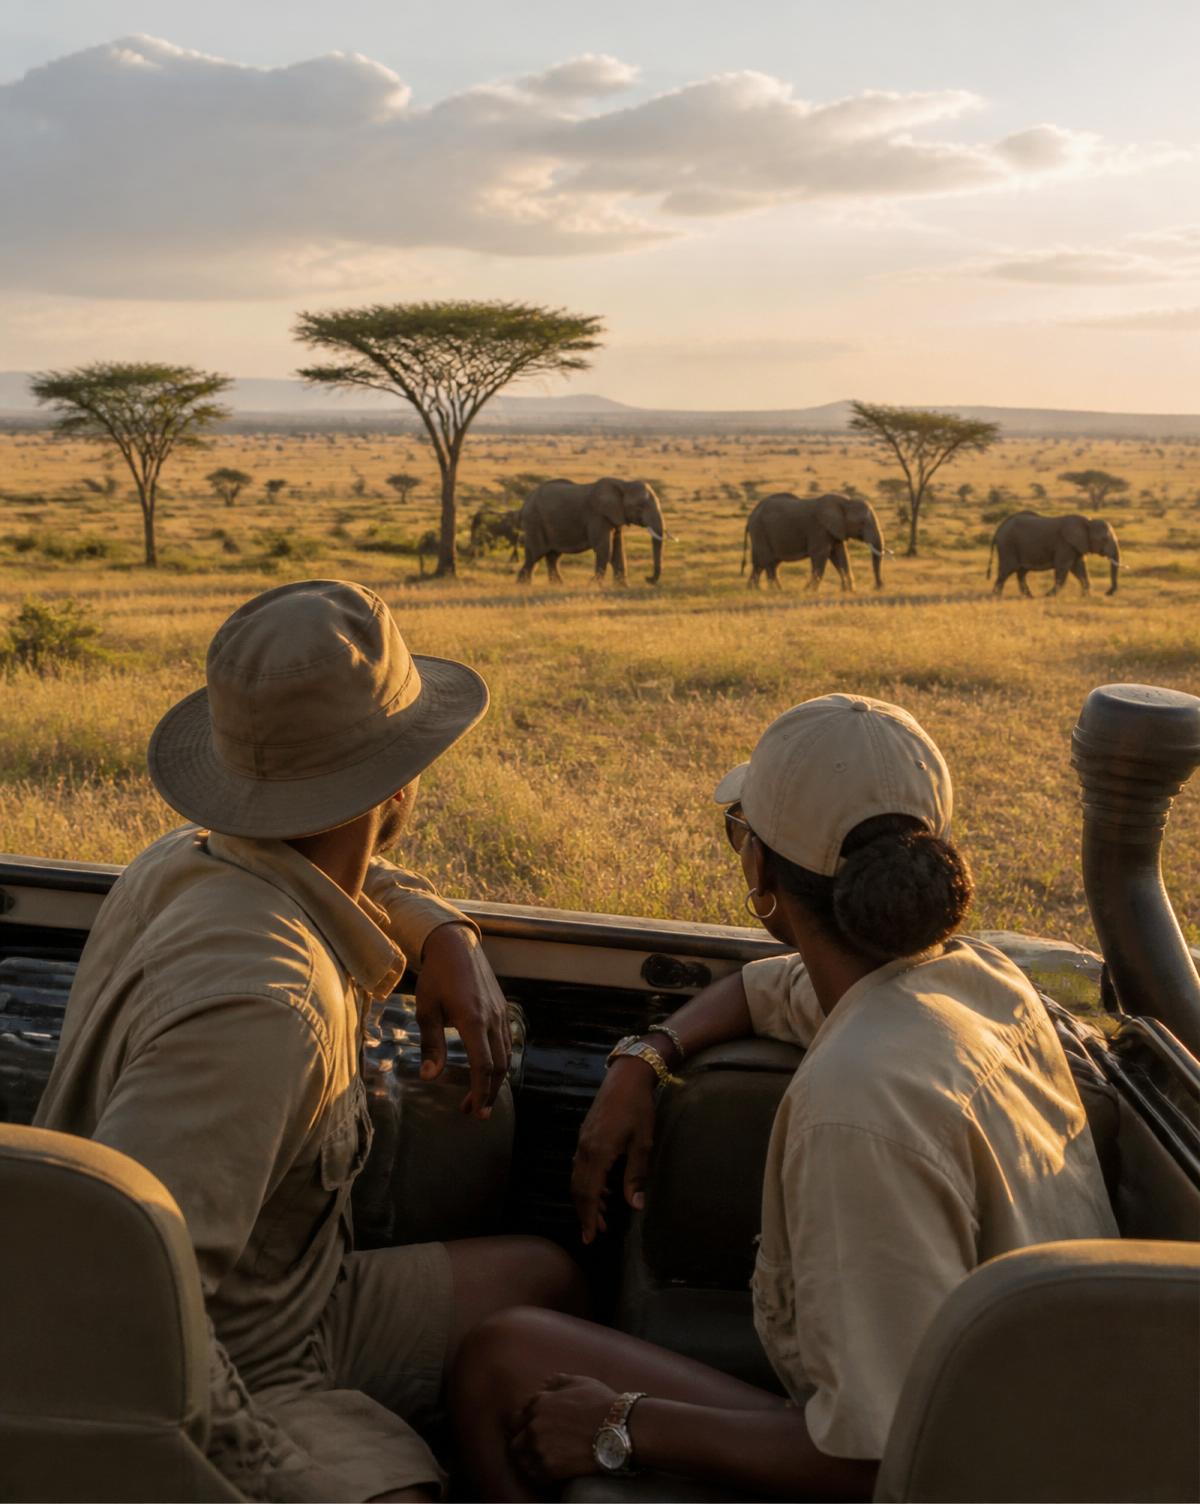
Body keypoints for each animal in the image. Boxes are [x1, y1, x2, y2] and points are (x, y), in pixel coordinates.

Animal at [517, 477, 665, 586]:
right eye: (640, 507)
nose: (648, 578)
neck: (623, 484)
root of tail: (525, 502)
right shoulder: (598, 516)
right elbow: (605, 548)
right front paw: (595, 585)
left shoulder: (615, 518)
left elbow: (618, 549)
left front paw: (622, 587)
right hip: (534, 522)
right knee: (534, 554)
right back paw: (523, 585)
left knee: (552, 556)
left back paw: (557, 585)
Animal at [742, 492, 885, 592]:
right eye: (862, 523)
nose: (878, 587)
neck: (845, 502)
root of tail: (750, 517)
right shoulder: (819, 529)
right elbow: (821, 556)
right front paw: (809, 590)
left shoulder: (835, 530)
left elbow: (841, 557)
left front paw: (848, 591)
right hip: (760, 531)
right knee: (764, 561)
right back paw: (762, 590)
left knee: (768, 563)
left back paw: (765, 590)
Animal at [988, 512, 1120, 597]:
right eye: (1104, 539)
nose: (1108, 593)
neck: (1088, 521)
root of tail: (998, 529)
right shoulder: (1065, 544)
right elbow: (1063, 568)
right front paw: (1048, 596)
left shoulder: (1075, 546)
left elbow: (1080, 568)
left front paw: (1086, 596)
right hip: (1008, 545)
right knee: (1007, 570)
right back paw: (996, 596)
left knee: (1021, 572)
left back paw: (1029, 596)